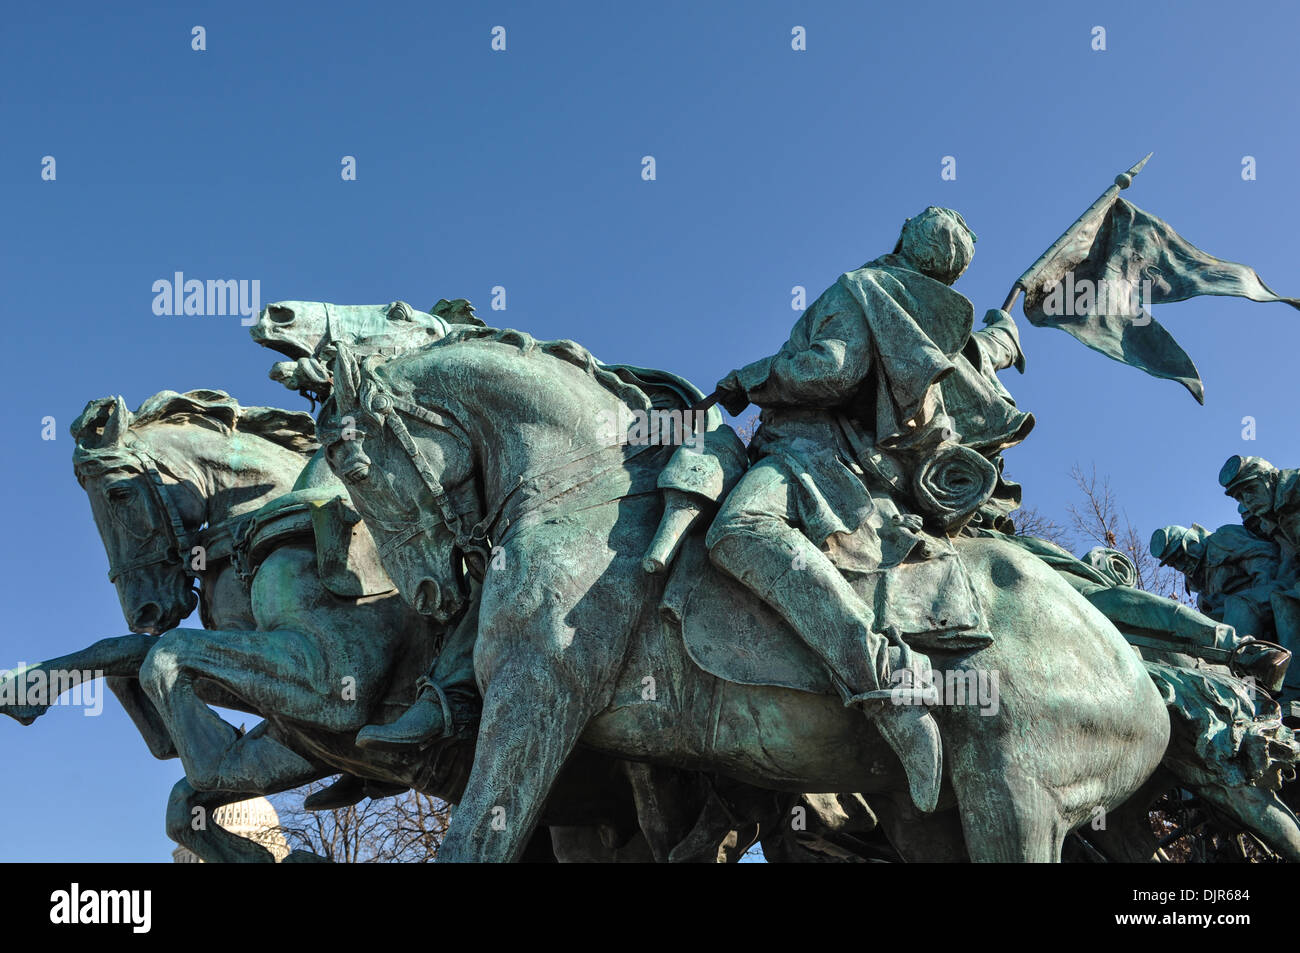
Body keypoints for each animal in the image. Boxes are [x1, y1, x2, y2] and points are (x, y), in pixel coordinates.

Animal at [317, 327, 1180, 863]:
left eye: (355, 469)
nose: (430, 589)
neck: (585, 485)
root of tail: (1139, 677)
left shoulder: (537, 698)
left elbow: (477, 835)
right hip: (933, 815)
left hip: (1018, 797)